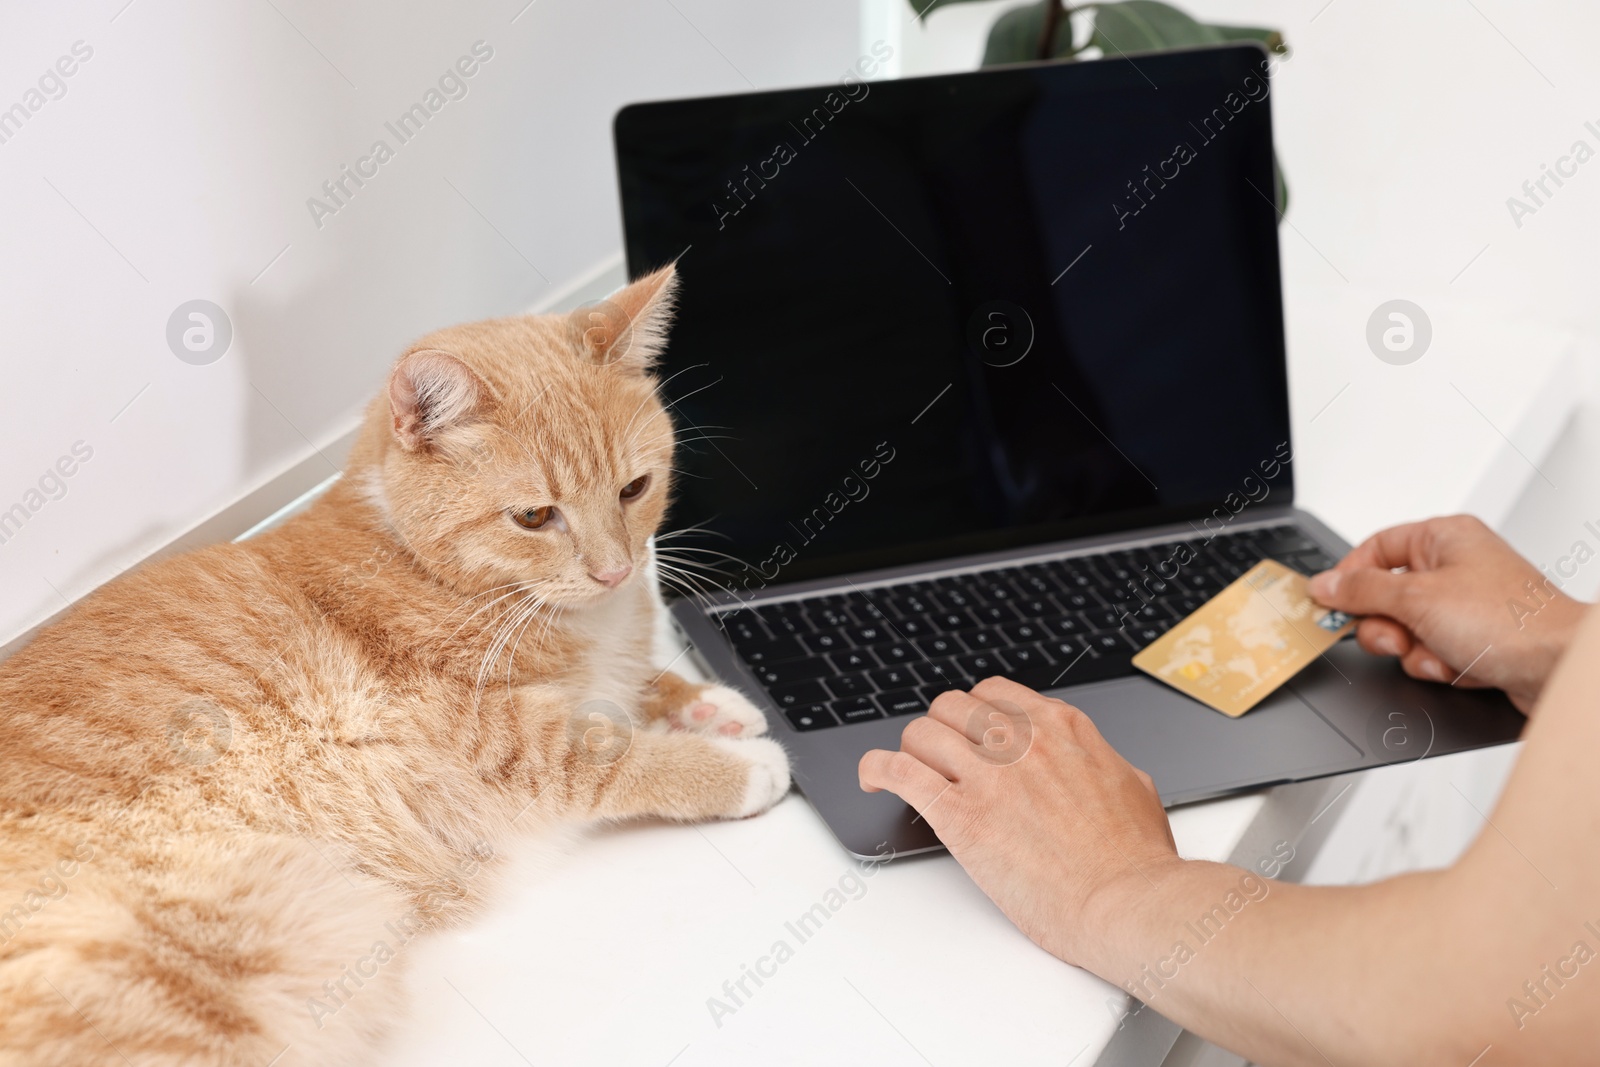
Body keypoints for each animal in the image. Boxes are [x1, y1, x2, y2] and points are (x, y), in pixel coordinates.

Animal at [0, 267, 787, 1067]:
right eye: (535, 517)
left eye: (634, 489)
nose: (616, 571)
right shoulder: (507, 742)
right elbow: (614, 753)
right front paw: (740, 766)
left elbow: (638, 687)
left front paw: (714, 705)